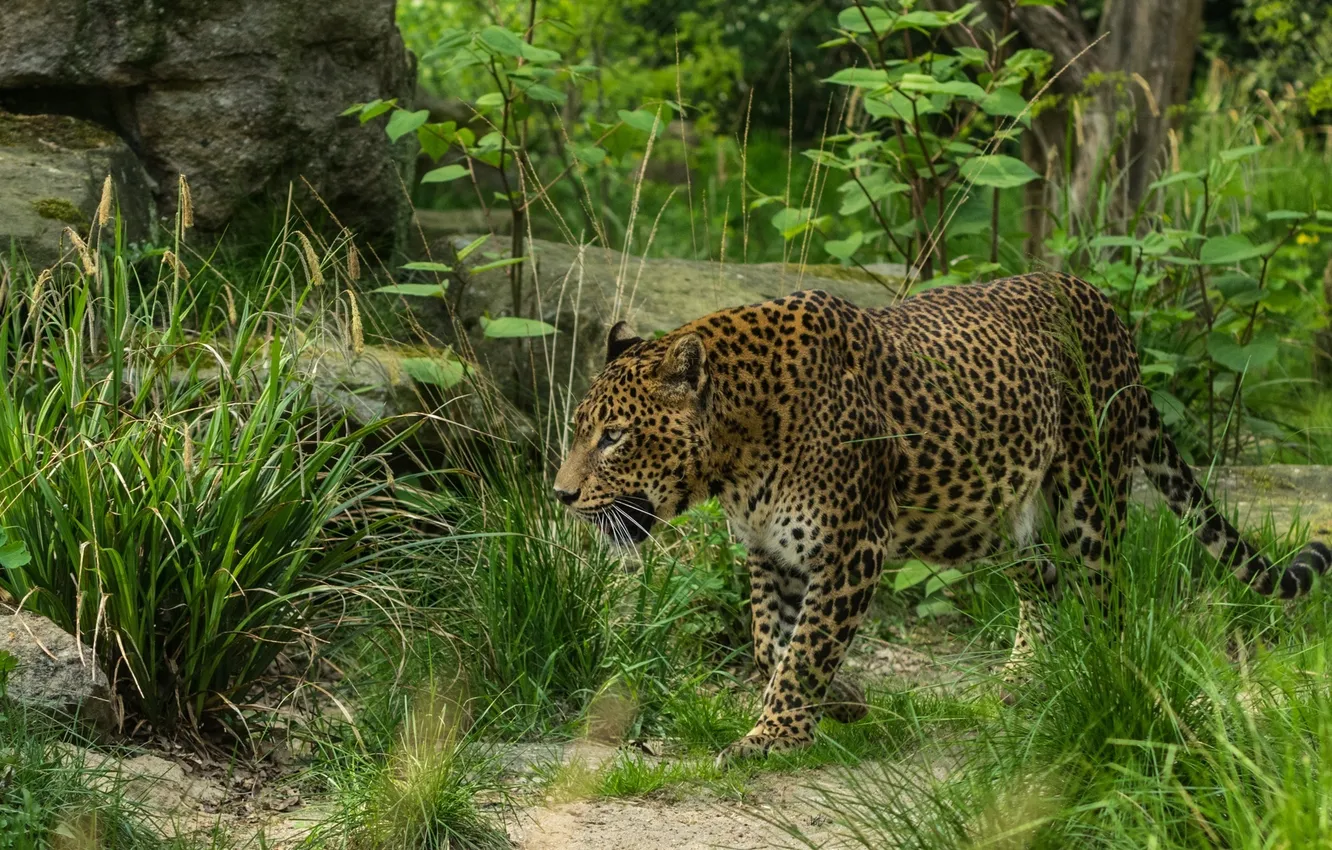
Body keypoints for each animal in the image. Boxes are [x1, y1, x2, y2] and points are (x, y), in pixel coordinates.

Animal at [553, 271, 1331, 765]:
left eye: (615, 437)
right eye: (581, 430)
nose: (559, 495)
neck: (740, 449)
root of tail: (1105, 307)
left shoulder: (851, 547)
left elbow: (805, 648)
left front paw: (773, 737)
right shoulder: (769, 553)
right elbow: (772, 640)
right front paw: (835, 706)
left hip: (1091, 494)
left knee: (1105, 593)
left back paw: (1101, 674)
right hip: (1012, 514)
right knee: (1043, 587)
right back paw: (1029, 676)